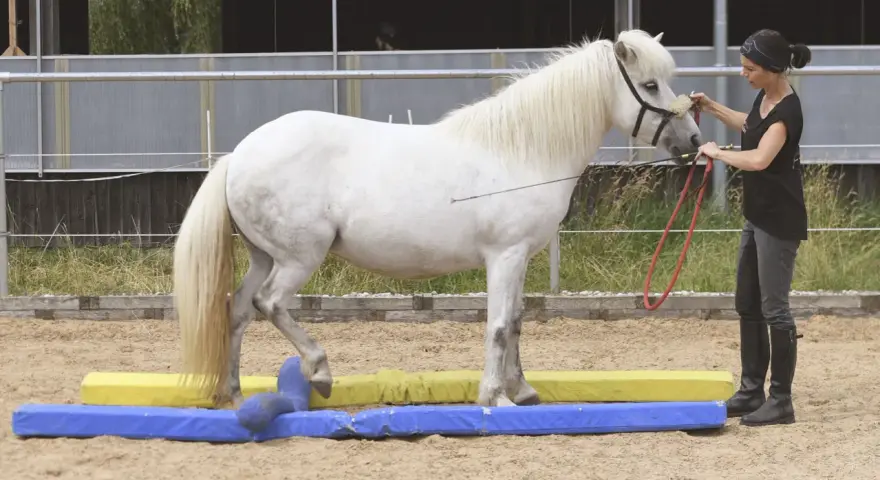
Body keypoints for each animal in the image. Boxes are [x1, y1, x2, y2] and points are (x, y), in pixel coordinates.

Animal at [172, 29, 703, 409]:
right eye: (650, 85)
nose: (694, 142)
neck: (522, 151)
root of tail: (239, 154)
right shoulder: (504, 256)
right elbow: (497, 326)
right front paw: (495, 398)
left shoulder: (519, 260)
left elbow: (515, 321)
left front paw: (522, 391)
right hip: (298, 258)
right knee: (271, 303)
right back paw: (319, 372)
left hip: (264, 256)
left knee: (238, 310)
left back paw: (235, 394)